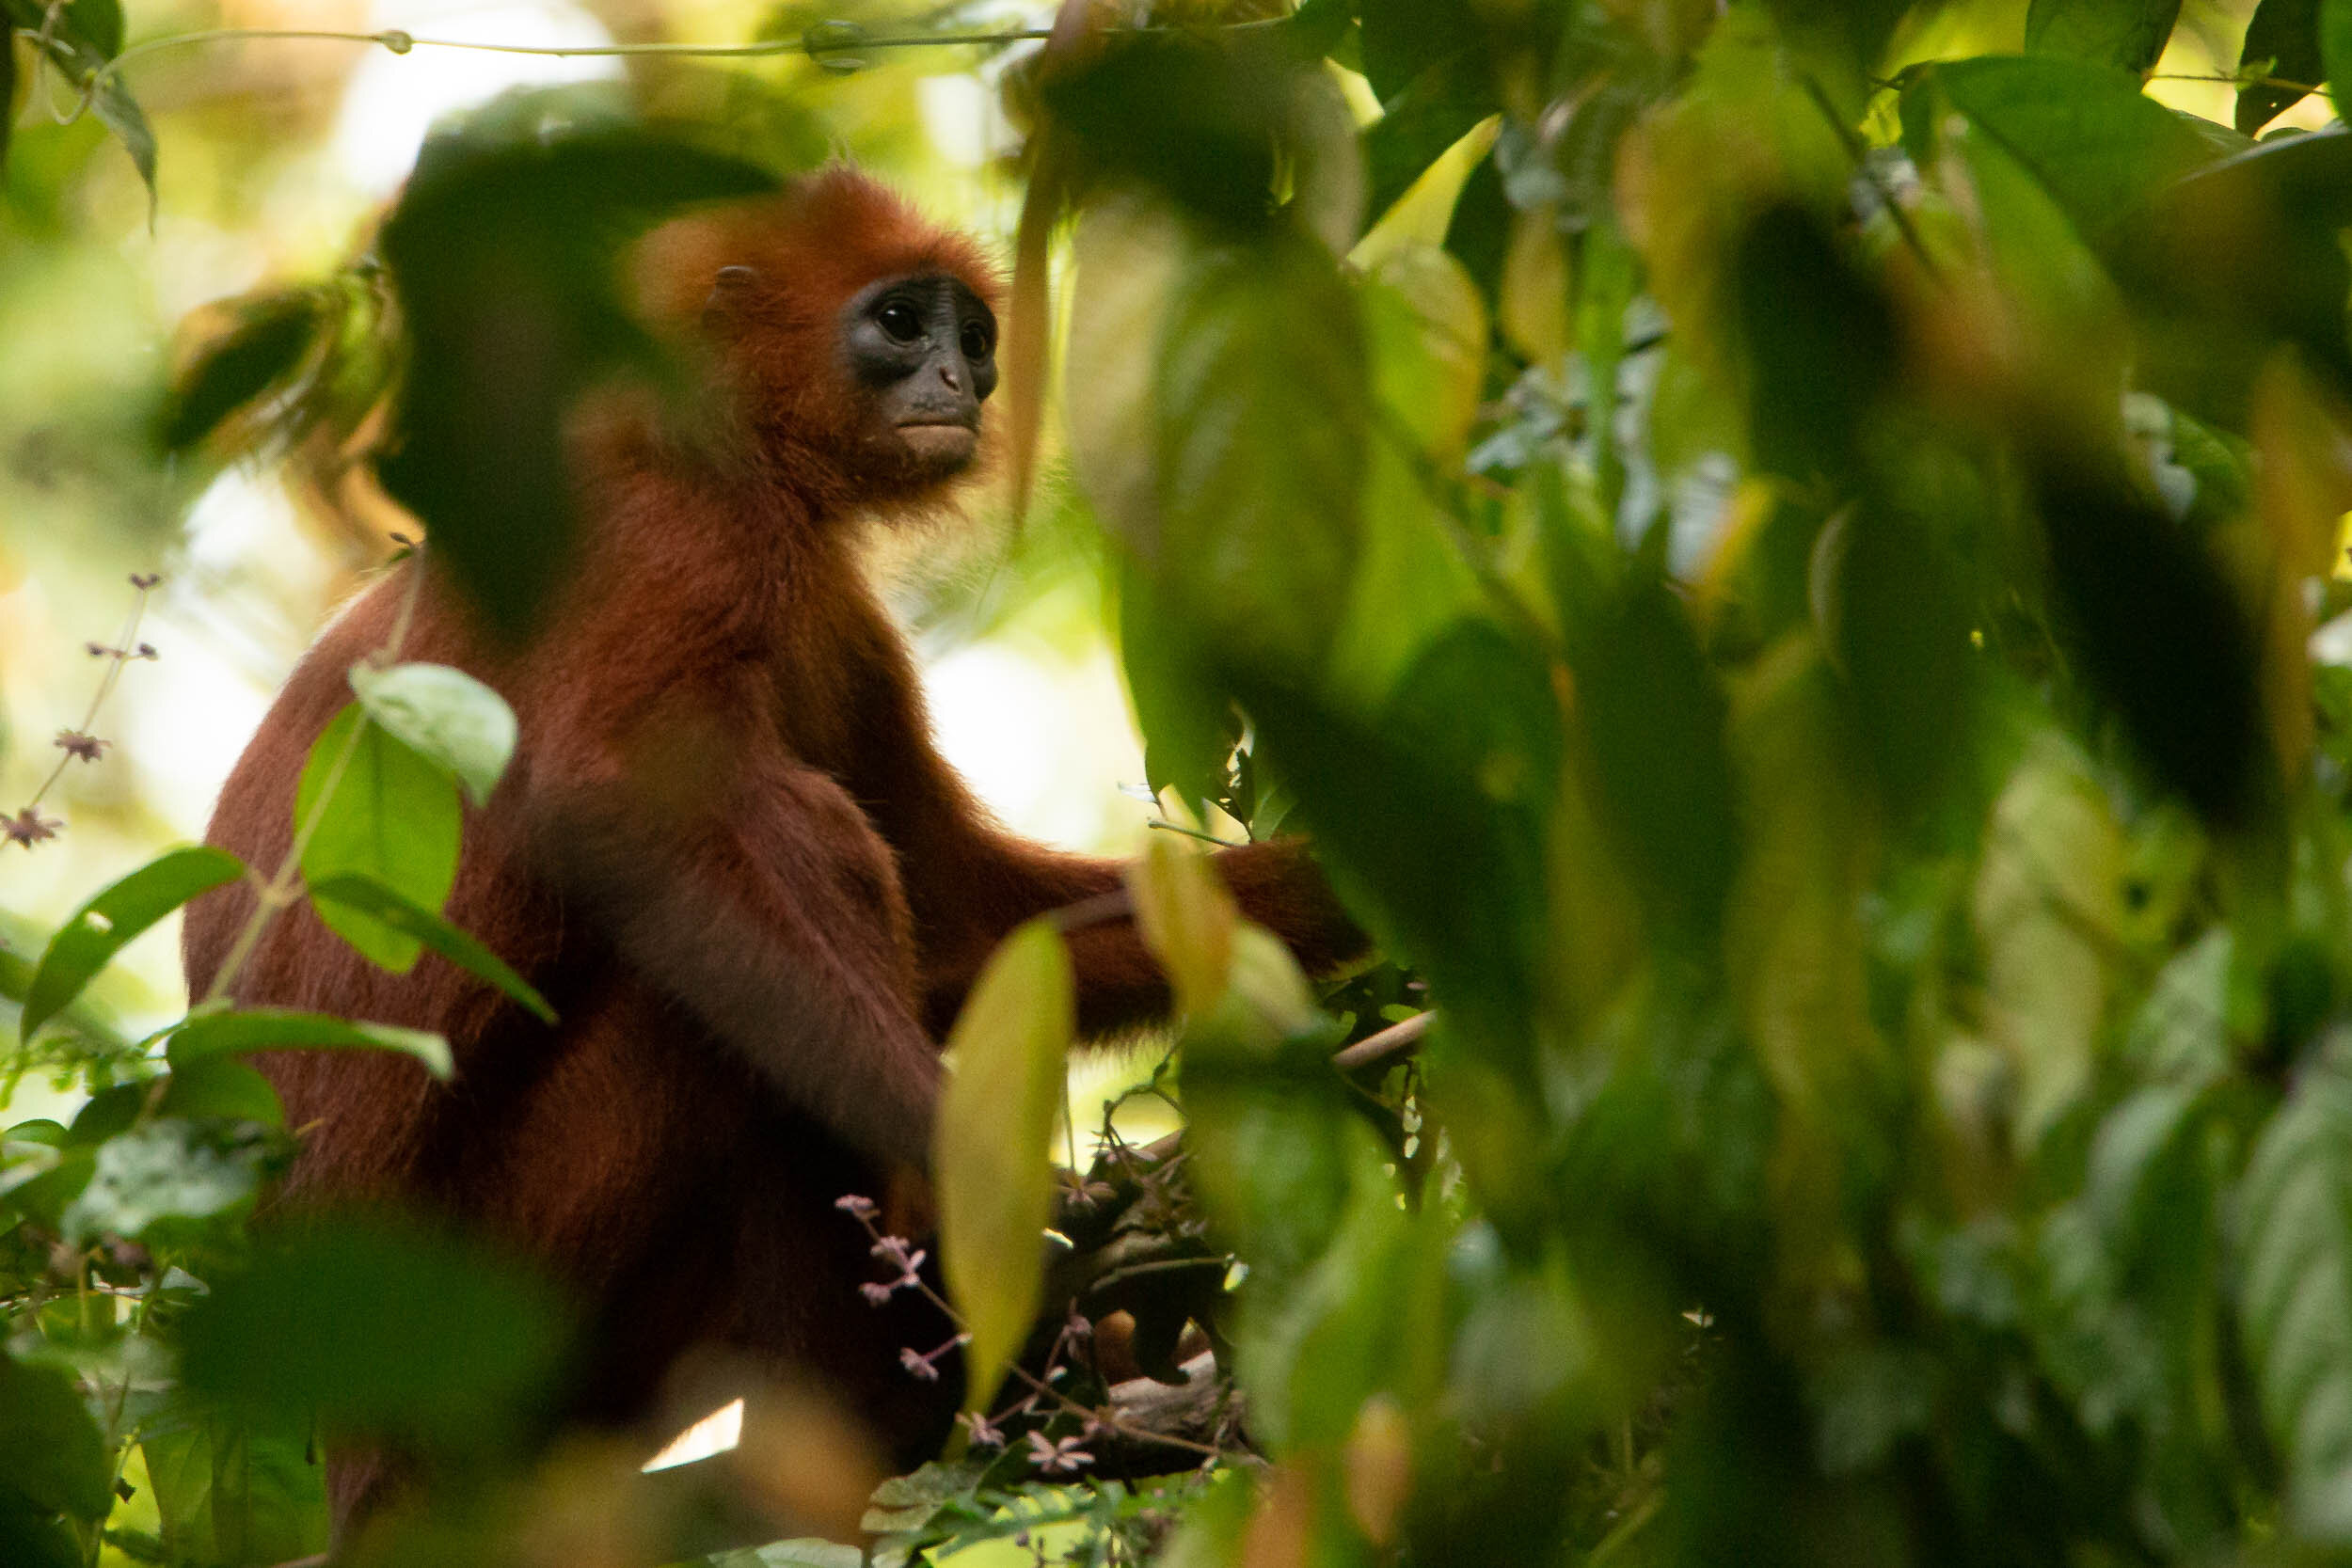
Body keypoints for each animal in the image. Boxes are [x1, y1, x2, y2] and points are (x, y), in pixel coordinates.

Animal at [183, 171, 1374, 1532]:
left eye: (973, 336)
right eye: (902, 323)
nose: (962, 382)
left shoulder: (833, 613)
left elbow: (967, 928)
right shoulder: (676, 532)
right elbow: (618, 811)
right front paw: (996, 1191)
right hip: (498, 1304)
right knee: (760, 923)